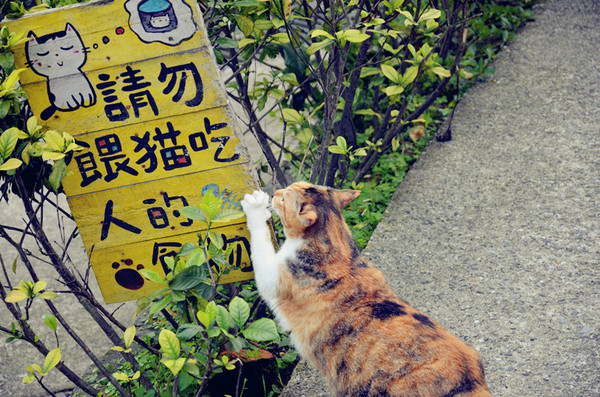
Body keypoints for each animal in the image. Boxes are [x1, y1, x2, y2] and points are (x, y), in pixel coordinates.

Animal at [243, 183, 492, 396]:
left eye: (284, 198)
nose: (275, 192)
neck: (338, 243)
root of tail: (471, 383)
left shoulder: (274, 277)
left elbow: (260, 245)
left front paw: (255, 207)